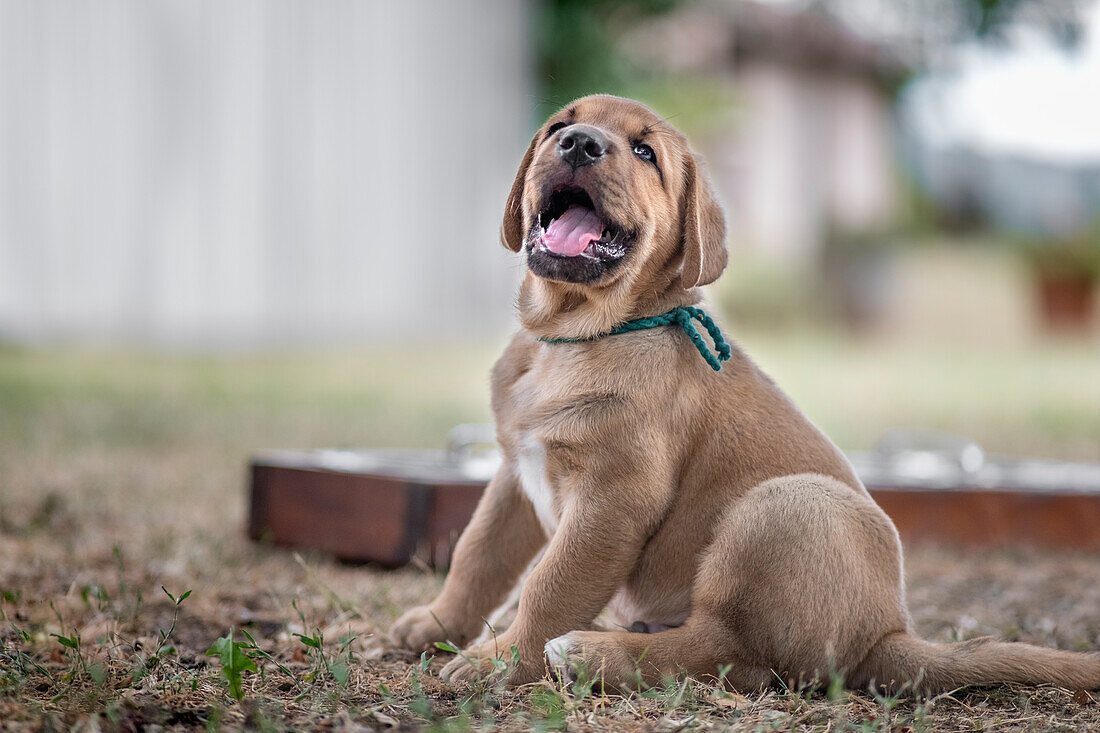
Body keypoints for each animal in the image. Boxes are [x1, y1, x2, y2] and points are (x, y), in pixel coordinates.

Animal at [391, 94, 1095, 686]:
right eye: (560, 125)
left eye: (645, 153)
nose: (580, 144)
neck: (574, 338)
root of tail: (887, 636)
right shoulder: (515, 473)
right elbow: (478, 556)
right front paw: (438, 624)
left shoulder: (613, 496)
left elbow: (549, 585)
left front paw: (503, 659)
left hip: (784, 509)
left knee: (723, 650)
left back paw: (592, 652)